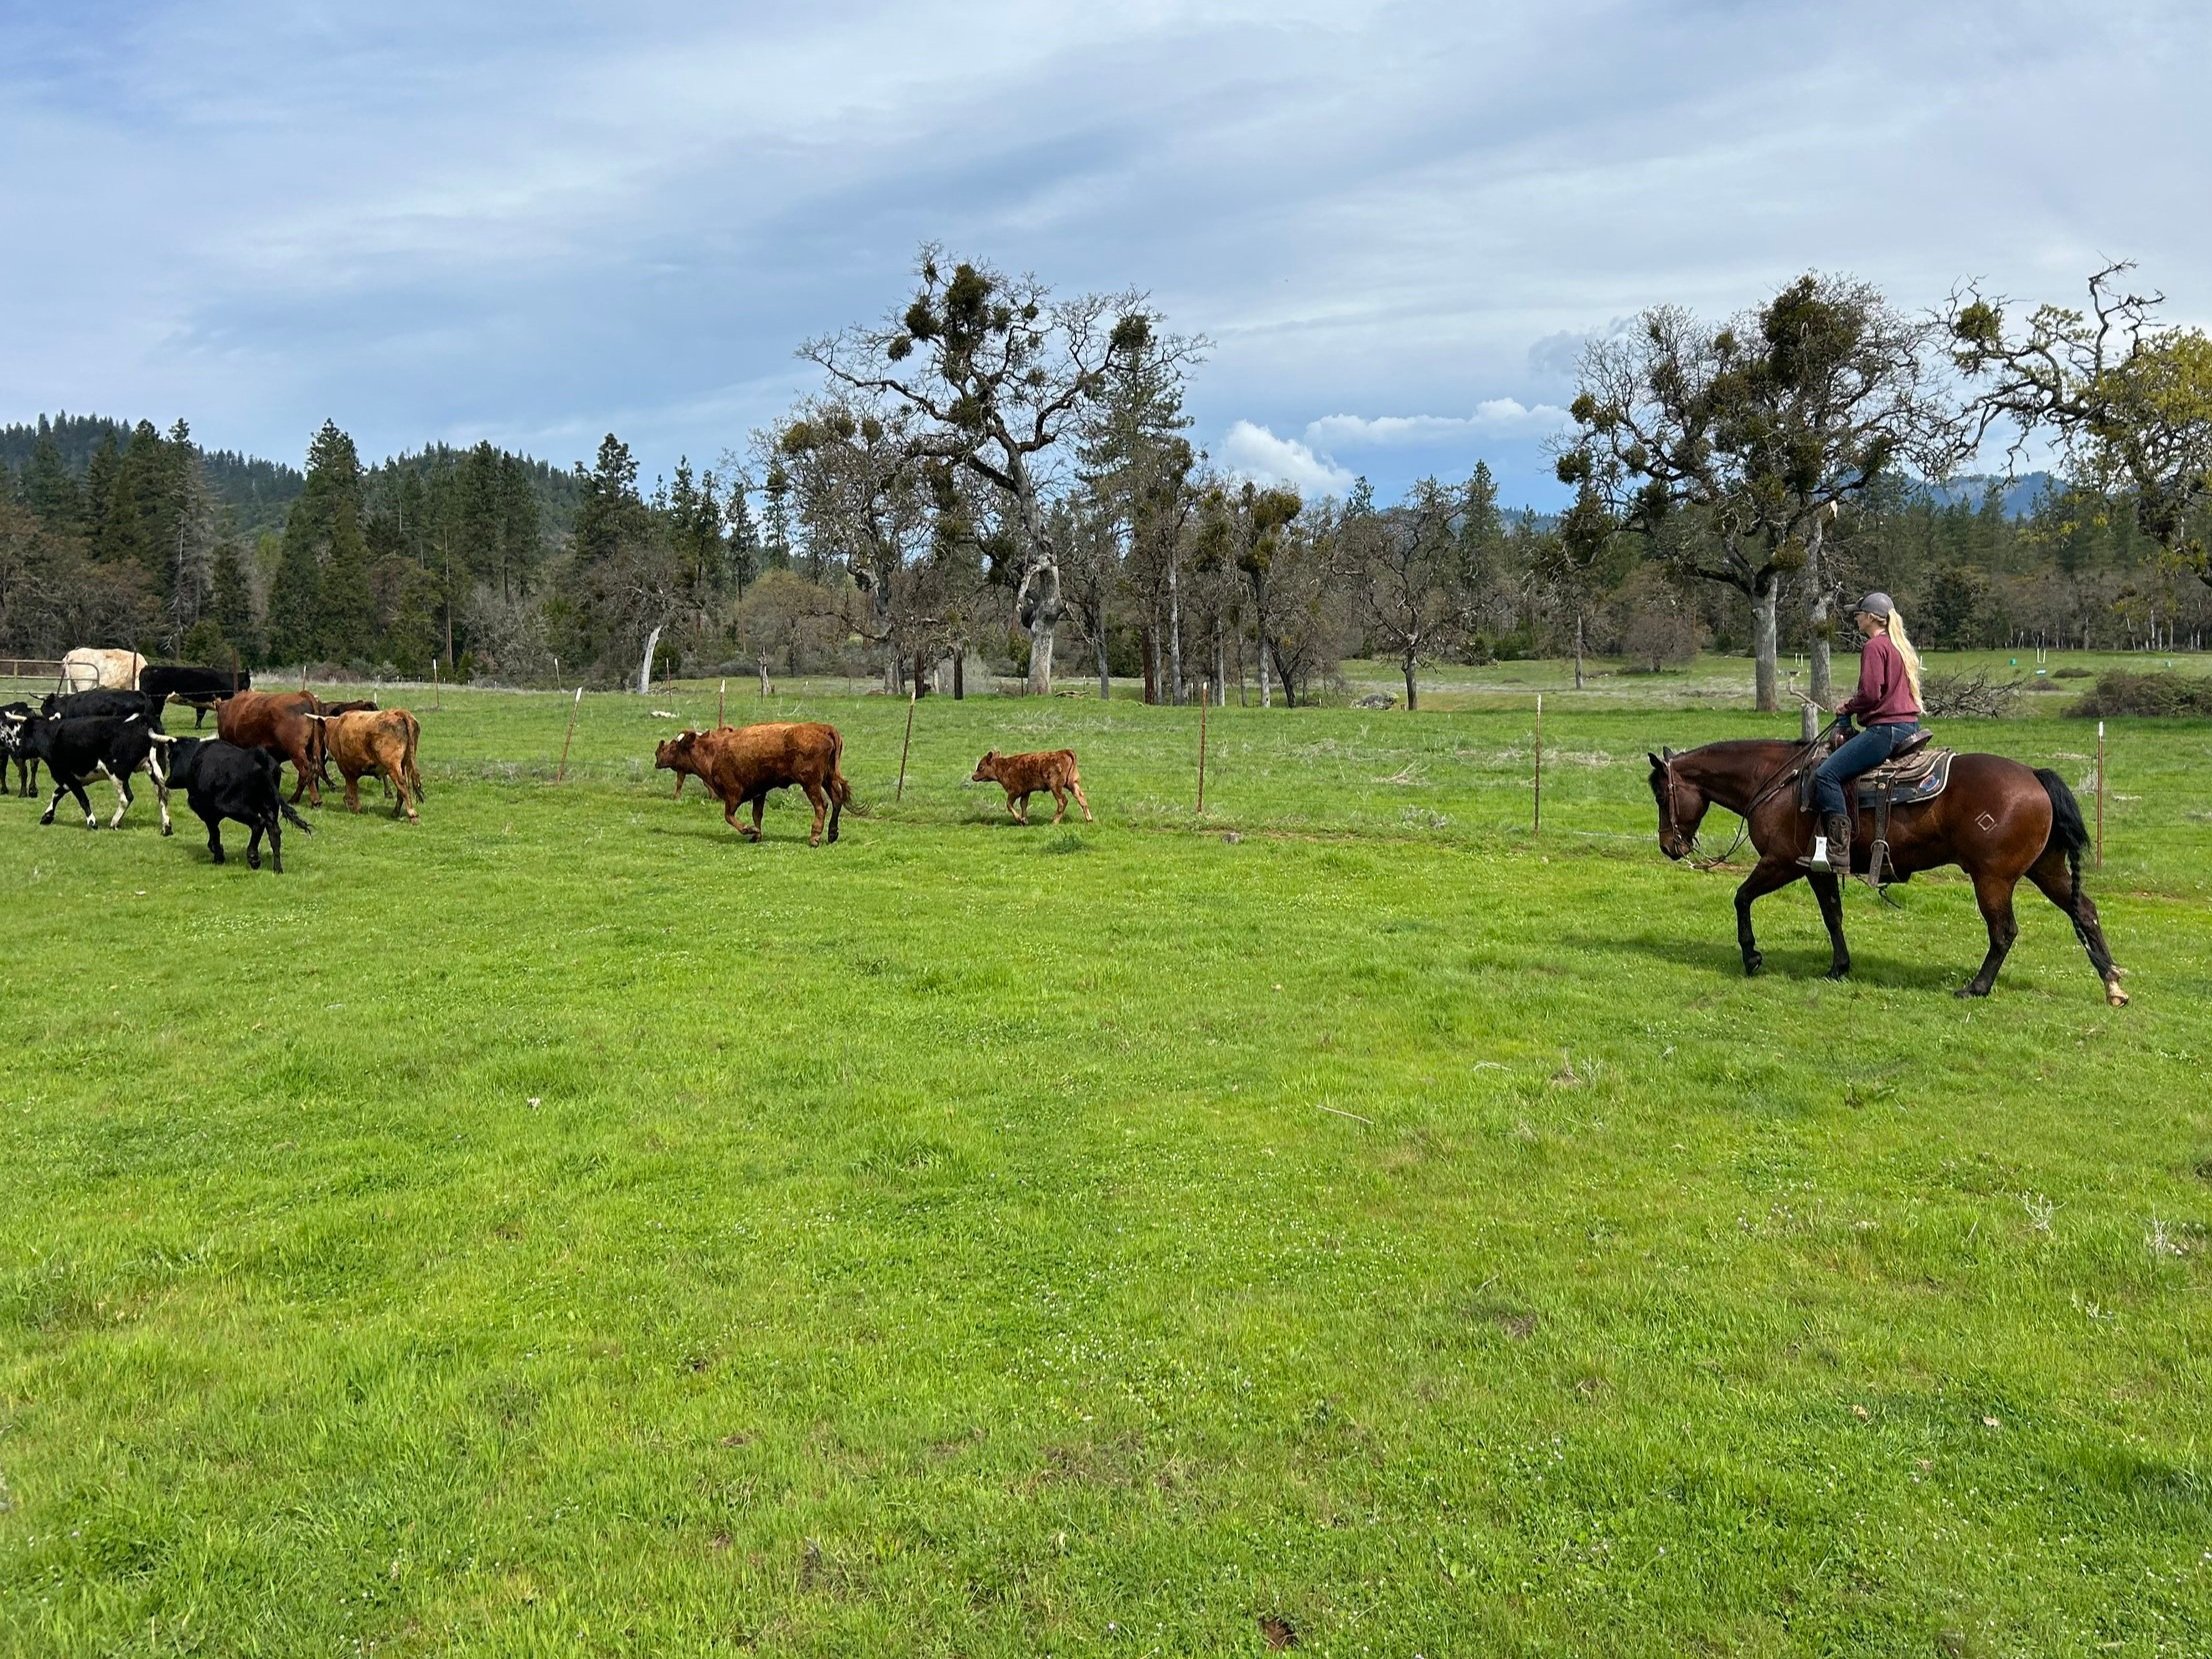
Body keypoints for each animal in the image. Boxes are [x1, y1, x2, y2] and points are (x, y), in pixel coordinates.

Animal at [24, 712, 173, 832]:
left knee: (126, 798)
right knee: (162, 795)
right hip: (154, 768)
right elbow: (57, 793)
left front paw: (92, 822)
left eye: (21, 733)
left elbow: (82, 799)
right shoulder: (73, 779)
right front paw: (47, 816)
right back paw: (166, 827)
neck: (51, 736)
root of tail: (143, 718)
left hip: (116, 773)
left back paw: (114, 822)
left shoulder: (66, 775)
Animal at [161, 737, 312, 872]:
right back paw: (277, 869)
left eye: (170, 756)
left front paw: (218, 857)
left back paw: (254, 858)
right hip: (269, 805)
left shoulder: (207, 811)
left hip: (232, 806)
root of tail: (257, 755)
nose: (167, 781)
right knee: (274, 832)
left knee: (258, 823)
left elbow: (214, 833)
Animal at [653, 722, 849, 845]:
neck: (714, 753)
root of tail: (822, 728)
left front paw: (750, 830)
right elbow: (757, 814)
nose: (657, 759)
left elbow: (729, 816)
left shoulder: (733, 794)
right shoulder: (759, 792)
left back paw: (814, 837)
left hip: (811, 783)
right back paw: (832, 833)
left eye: (673, 747)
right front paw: (756, 835)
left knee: (821, 805)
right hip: (828, 779)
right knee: (837, 801)